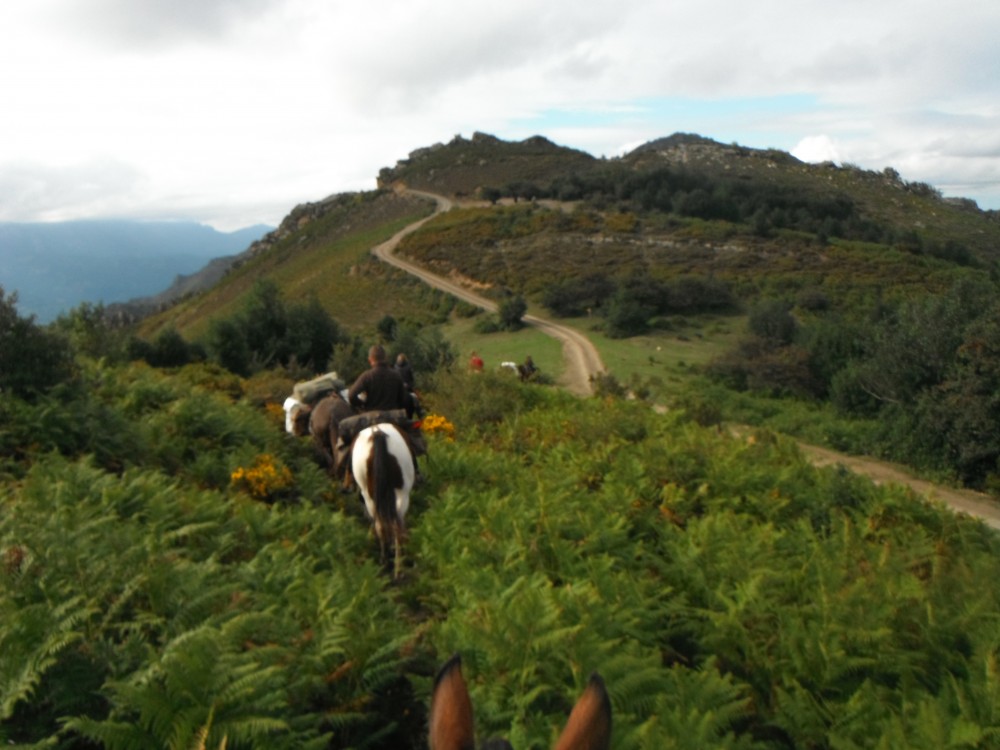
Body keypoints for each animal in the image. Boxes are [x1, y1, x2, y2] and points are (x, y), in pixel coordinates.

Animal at [352, 424, 414, 580]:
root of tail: (377, 433)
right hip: (402, 494)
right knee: (395, 527)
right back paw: (397, 568)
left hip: (370, 496)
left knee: (382, 525)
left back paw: (388, 562)